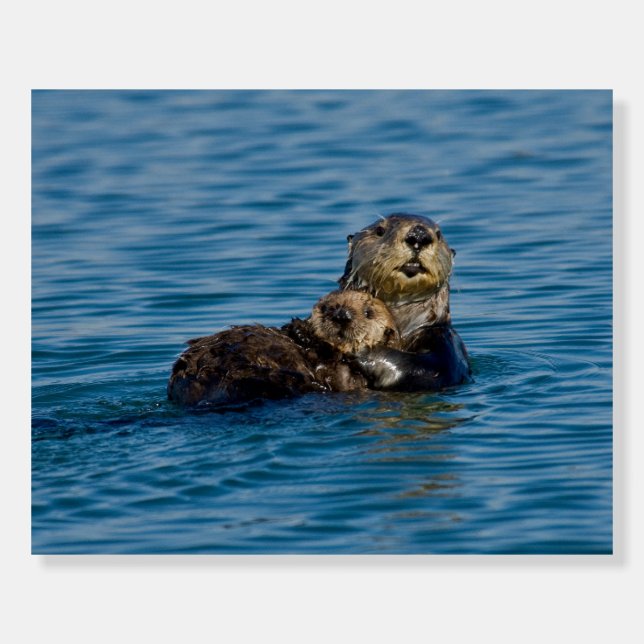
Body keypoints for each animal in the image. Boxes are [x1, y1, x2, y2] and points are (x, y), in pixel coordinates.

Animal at [168, 290, 400, 406]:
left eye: (369, 313)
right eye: (327, 307)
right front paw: (298, 328)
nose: (342, 315)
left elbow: (338, 375)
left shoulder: (349, 377)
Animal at [339, 213, 471, 391]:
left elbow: (428, 370)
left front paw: (361, 350)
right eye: (380, 230)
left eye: (439, 234)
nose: (419, 235)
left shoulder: (447, 342)